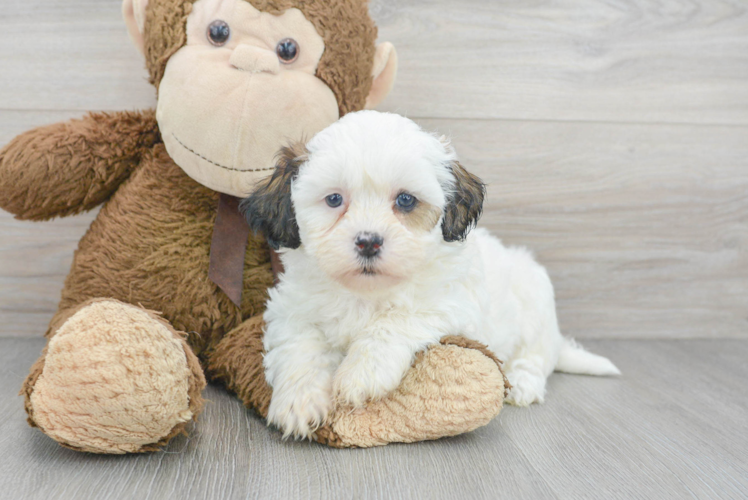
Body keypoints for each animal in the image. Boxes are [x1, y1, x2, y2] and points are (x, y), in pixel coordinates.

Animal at [240, 111, 620, 440]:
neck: (366, 292)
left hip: (534, 299)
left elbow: (394, 322)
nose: (368, 241)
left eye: (406, 201)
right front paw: (298, 402)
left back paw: (523, 383)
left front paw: (362, 373)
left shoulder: (450, 304)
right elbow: (300, 347)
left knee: (536, 357)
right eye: (334, 199)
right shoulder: (292, 310)